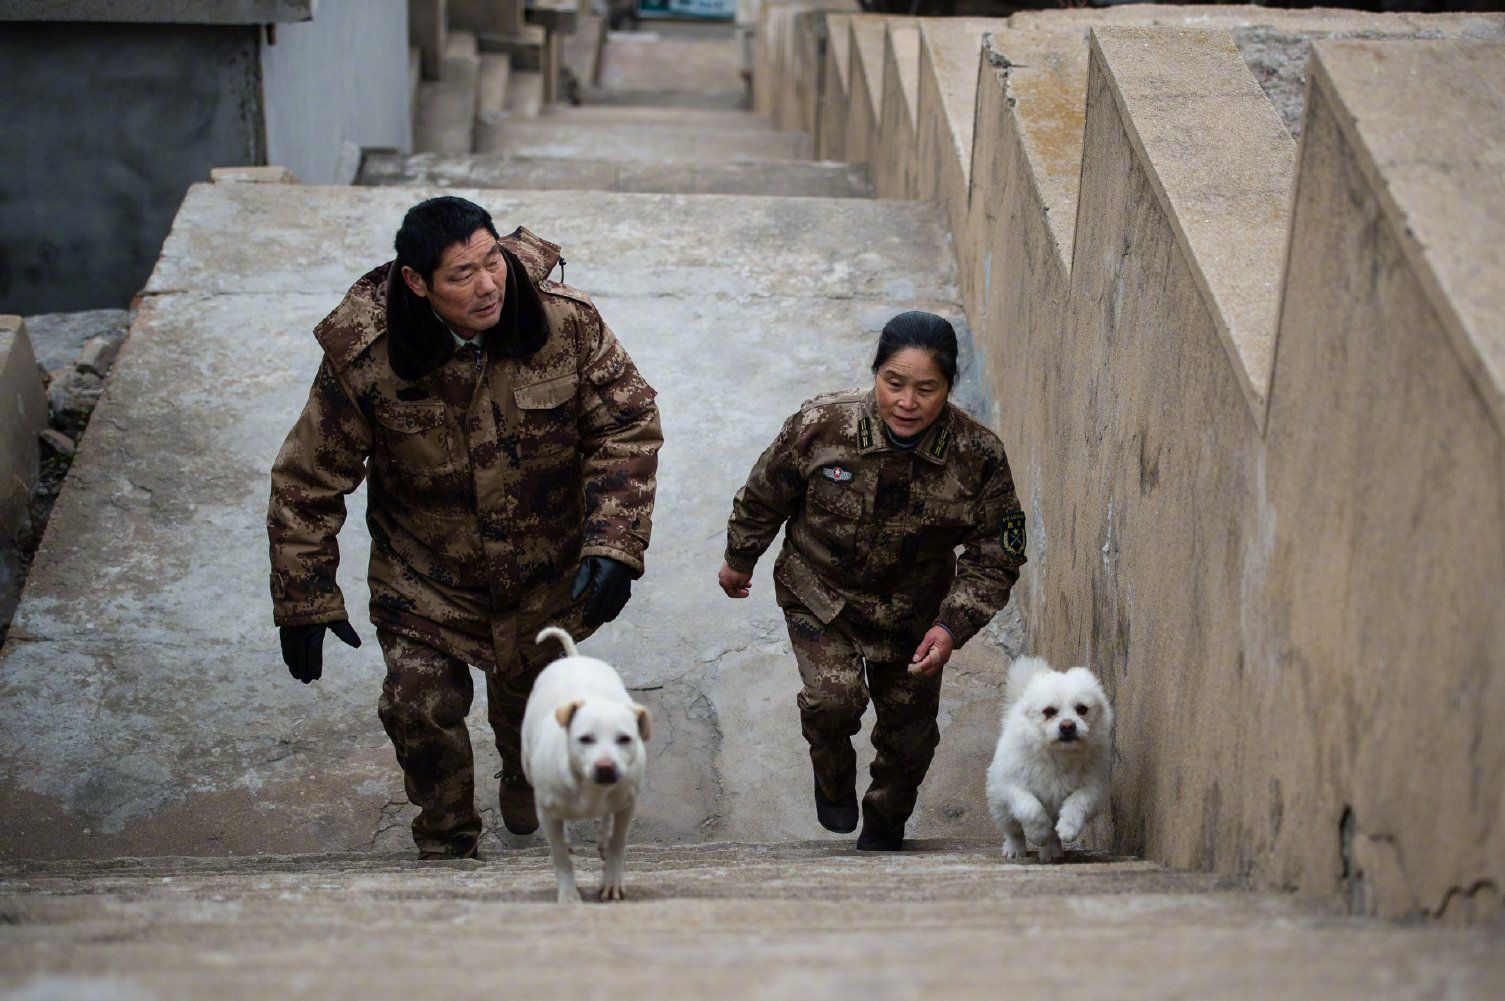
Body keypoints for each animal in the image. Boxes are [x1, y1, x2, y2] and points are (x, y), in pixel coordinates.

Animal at [523, 629, 647, 903]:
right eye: (585, 739)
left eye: (625, 739)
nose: (605, 767)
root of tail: (574, 659)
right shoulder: (546, 812)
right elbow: (560, 857)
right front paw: (569, 895)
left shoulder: (627, 802)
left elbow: (618, 844)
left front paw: (611, 882)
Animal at [981, 656, 1113, 861]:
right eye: (1049, 711)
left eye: (1082, 709)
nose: (1068, 726)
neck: (1059, 754)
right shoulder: (1012, 785)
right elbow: (1030, 808)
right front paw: (1037, 834)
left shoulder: (1092, 787)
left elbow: (1077, 802)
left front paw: (1068, 829)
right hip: (1000, 805)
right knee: (1013, 830)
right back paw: (1015, 849)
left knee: (1053, 835)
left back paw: (1052, 852)